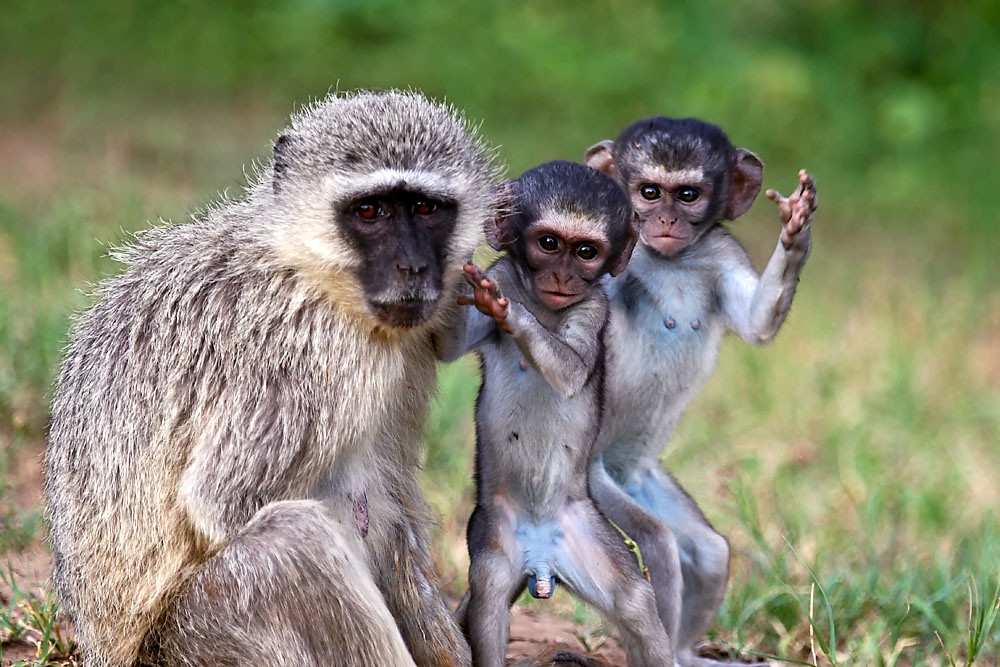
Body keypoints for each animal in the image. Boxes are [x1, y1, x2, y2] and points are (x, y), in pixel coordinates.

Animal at [43, 90, 503, 667]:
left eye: (426, 208)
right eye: (369, 211)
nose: (414, 268)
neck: (308, 265)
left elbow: (393, 509)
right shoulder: (311, 353)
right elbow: (223, 500)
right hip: (203, 634)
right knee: (293, 537)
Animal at [436, 160, 675, 667]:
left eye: (586, 252)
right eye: (548, 243)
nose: (564, 277)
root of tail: (542, 562)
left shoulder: (594, 305)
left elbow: (570, 372)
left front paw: (508, 312)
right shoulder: (502, 269)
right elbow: (447, 347)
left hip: (585, 533)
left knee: (633, 599)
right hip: (494, 535)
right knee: (488, 591)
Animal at [584, 116, 817, 666]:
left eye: (687, 195)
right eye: (649, 192)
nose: (666, 221)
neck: (670, 260)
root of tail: (618, 469)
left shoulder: (720, 251)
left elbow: (757, 326)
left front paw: (795, 230)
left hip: (644, 479)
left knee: (710, 550)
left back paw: (686, 653)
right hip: (598, 481)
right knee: (658, 542)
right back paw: (665, 654)